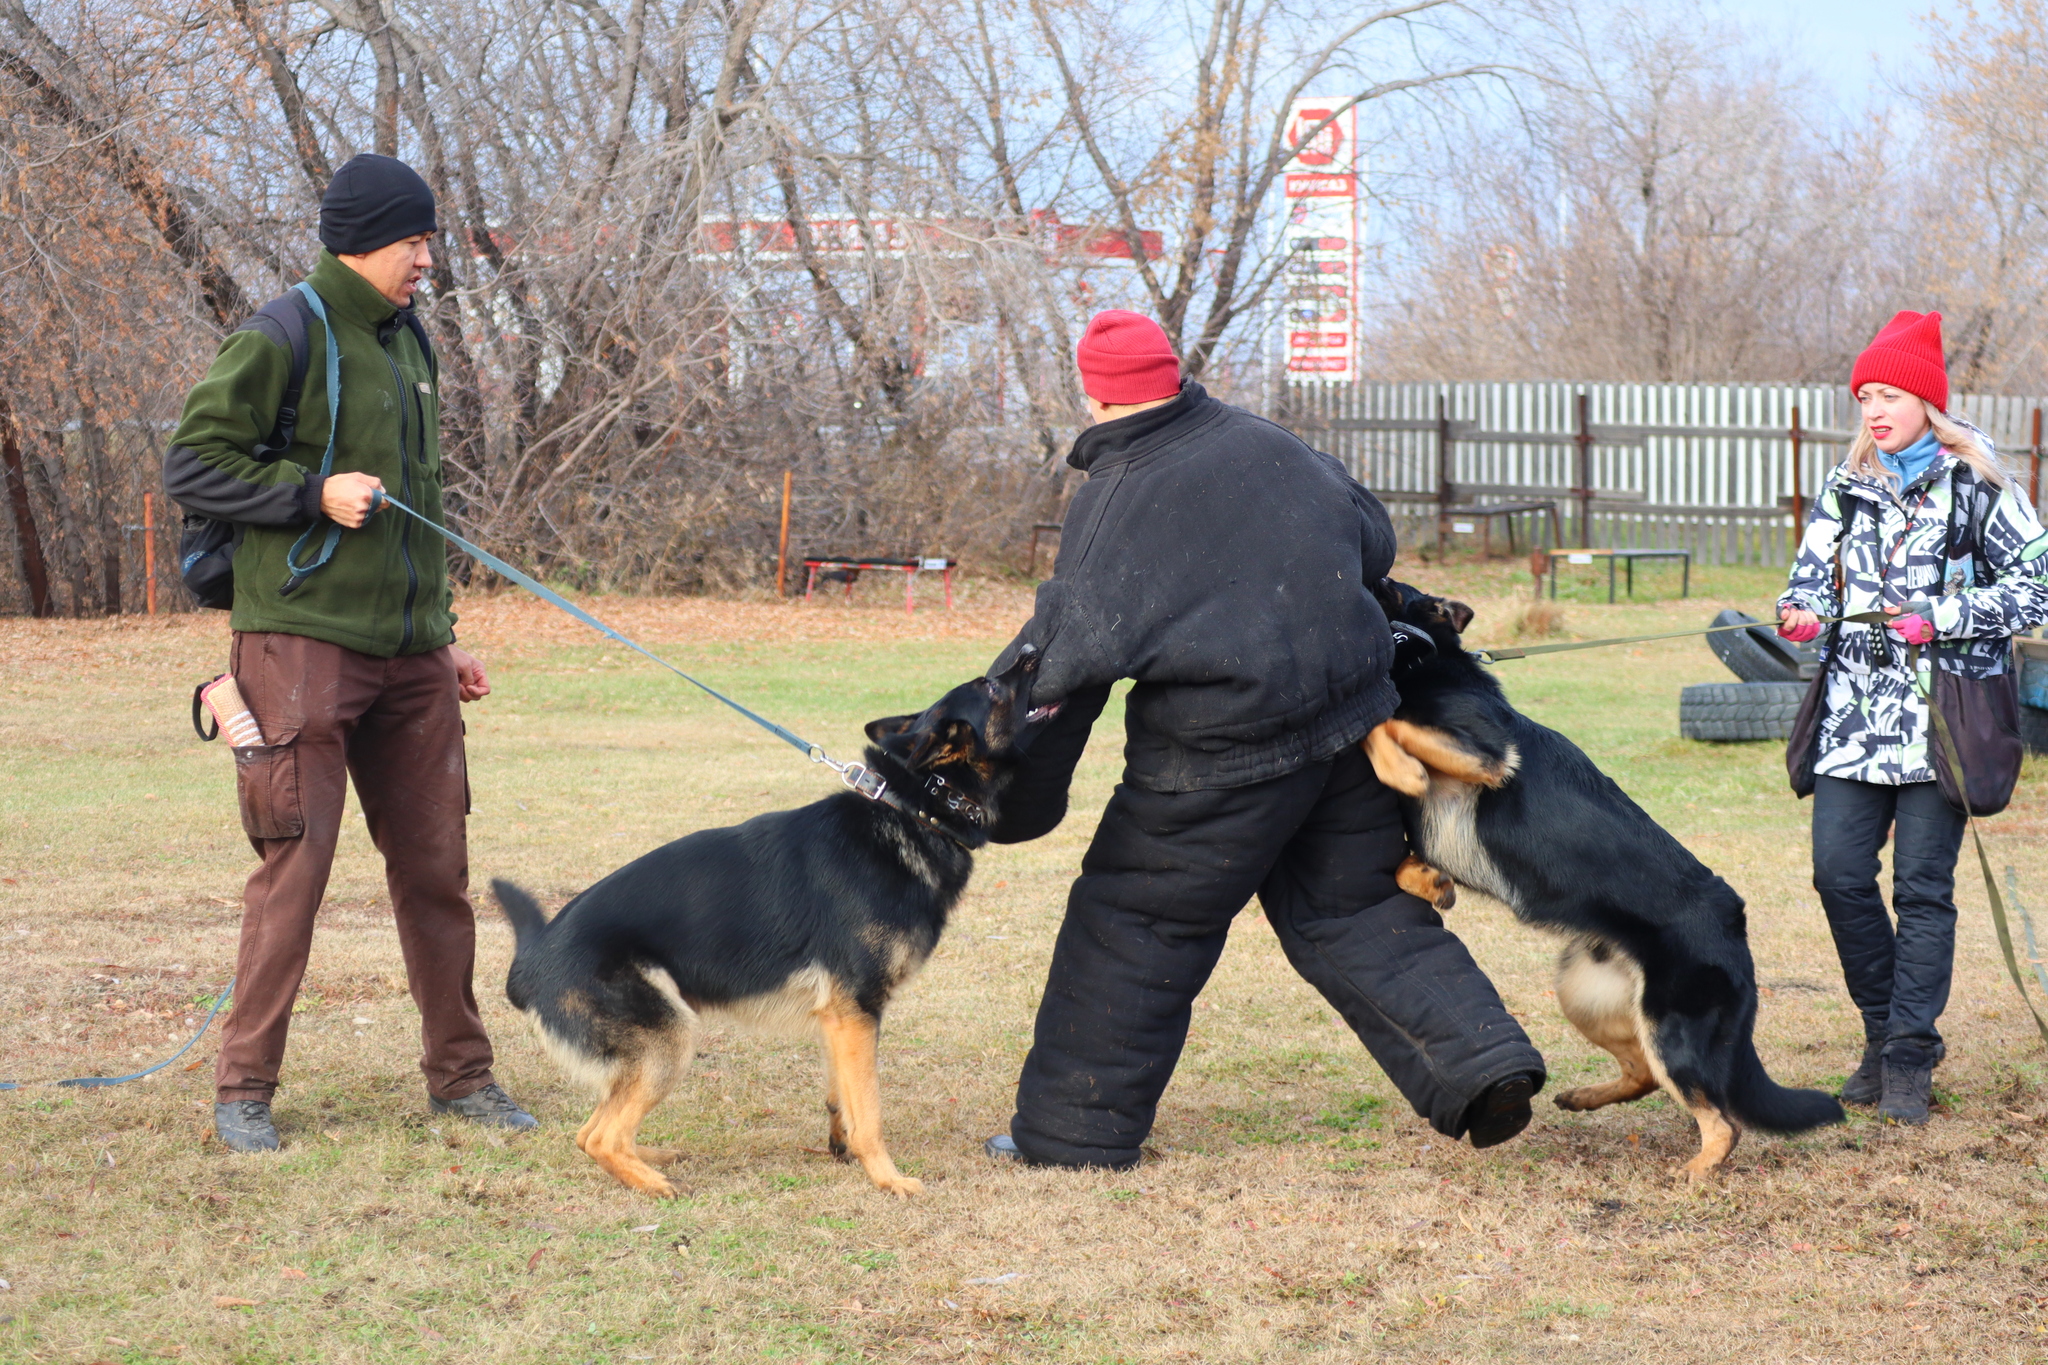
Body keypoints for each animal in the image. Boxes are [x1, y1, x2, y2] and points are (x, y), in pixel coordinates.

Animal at [493, 650, 1064, 1195]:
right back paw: (655, 1184)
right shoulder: (859, 1009)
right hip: (670, 1040)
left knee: (593, 1128)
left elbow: (842, 1096)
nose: (1033, 649)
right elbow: (871, 1110)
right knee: (599, 1136)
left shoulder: (840, 1018)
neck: (911, 809)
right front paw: (887, 1177)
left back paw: (651, 1158)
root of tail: (530, 961)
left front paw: (843, 1148)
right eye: (991, 685)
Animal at [1359, 581, 1843, 1178]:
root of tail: (1736, 923)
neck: (1430, 657)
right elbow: (1405, 856)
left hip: (1670, 1028)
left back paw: (1694, 1172)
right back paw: (1584, 1097)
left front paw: (1403, 770)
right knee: (1644, 1077)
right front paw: (1432, 884)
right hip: (1585, 995)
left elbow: (1384, 723)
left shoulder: (1487, 755)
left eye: (1385, 586)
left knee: (1722, 1122)